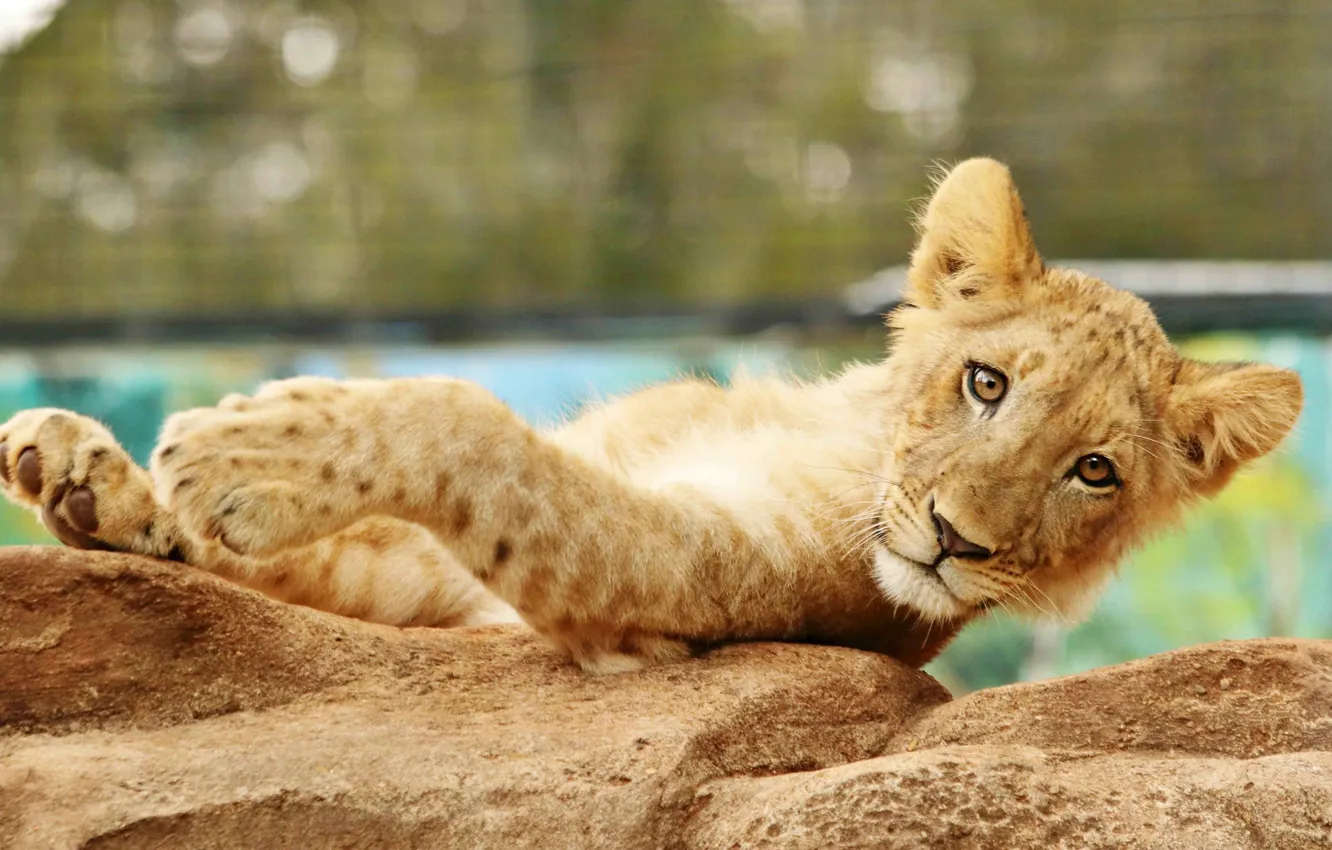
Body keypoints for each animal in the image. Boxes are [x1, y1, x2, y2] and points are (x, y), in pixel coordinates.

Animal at [0, 158, 1302, 673]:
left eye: (1096, 472)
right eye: (988, 383)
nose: (954, 543)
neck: (834, 429)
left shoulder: (671, 584)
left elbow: (473, 425)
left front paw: (239, 452)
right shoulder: (413, 580)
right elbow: (279, 561)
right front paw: (85, 475)